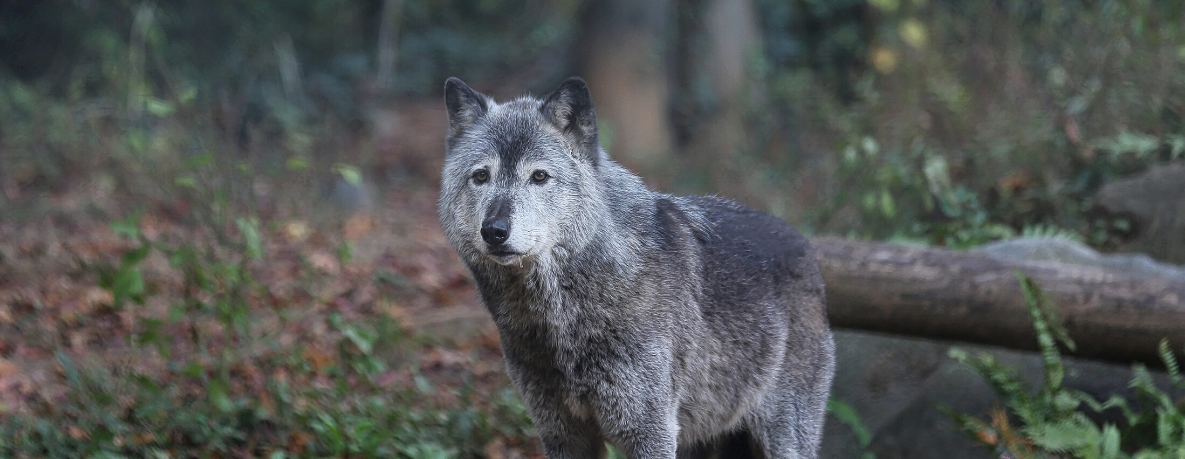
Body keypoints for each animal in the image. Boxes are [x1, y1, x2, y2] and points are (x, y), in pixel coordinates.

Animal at [437, 76, 835, 459]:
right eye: (481, 177)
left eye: (538, 177)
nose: (494, 231)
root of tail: (803, 244)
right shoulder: (562, 435)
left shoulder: (650, 432)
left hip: (782, 439)